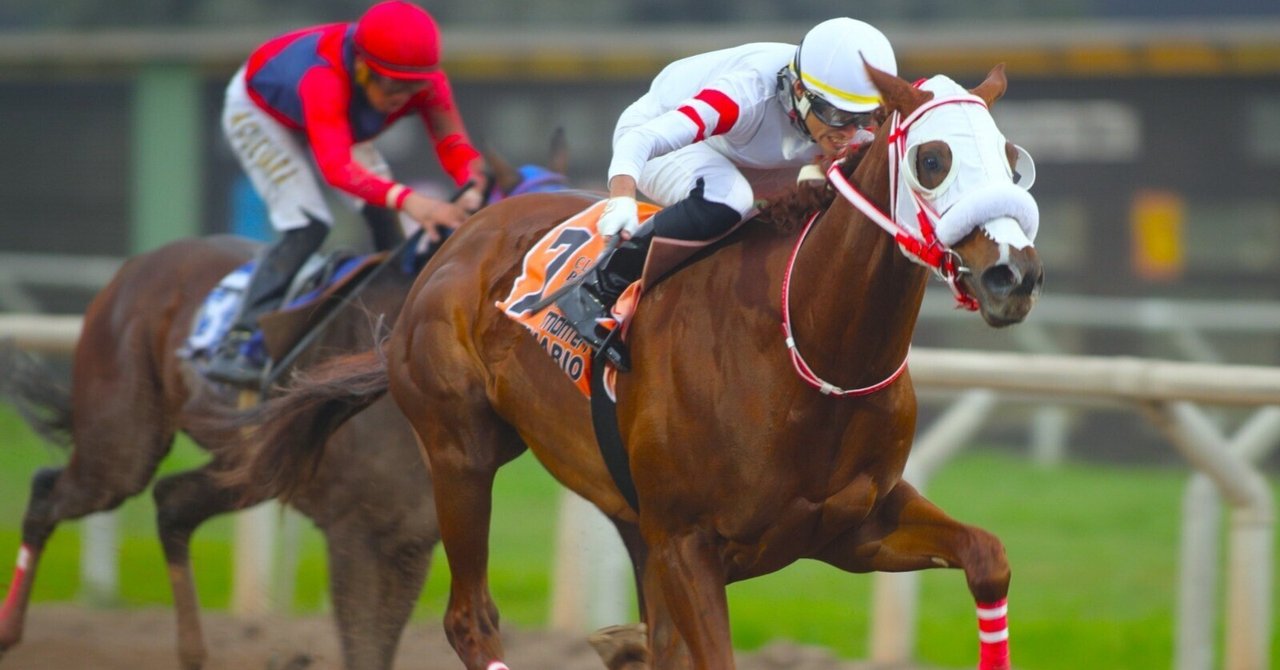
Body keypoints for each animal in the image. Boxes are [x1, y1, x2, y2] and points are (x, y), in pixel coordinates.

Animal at [0, 143, 571, 670]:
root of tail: (135, 266)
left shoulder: (408, 539)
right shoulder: (357, 534)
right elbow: (364, 649)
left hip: (256, 466)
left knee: (172, 501)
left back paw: (192, 650)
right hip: (122, 444)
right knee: (53, 490)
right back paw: (10, 631)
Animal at [225, 63, 1043, 670]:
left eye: (1013, 161)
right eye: (933, 160)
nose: (1014, 275)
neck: (808, 349)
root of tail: (460, 238)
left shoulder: (853, 528)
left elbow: (990, 557)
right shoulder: (687, 545)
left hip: (623, 510)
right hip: (460, 452)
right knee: (468, 618)